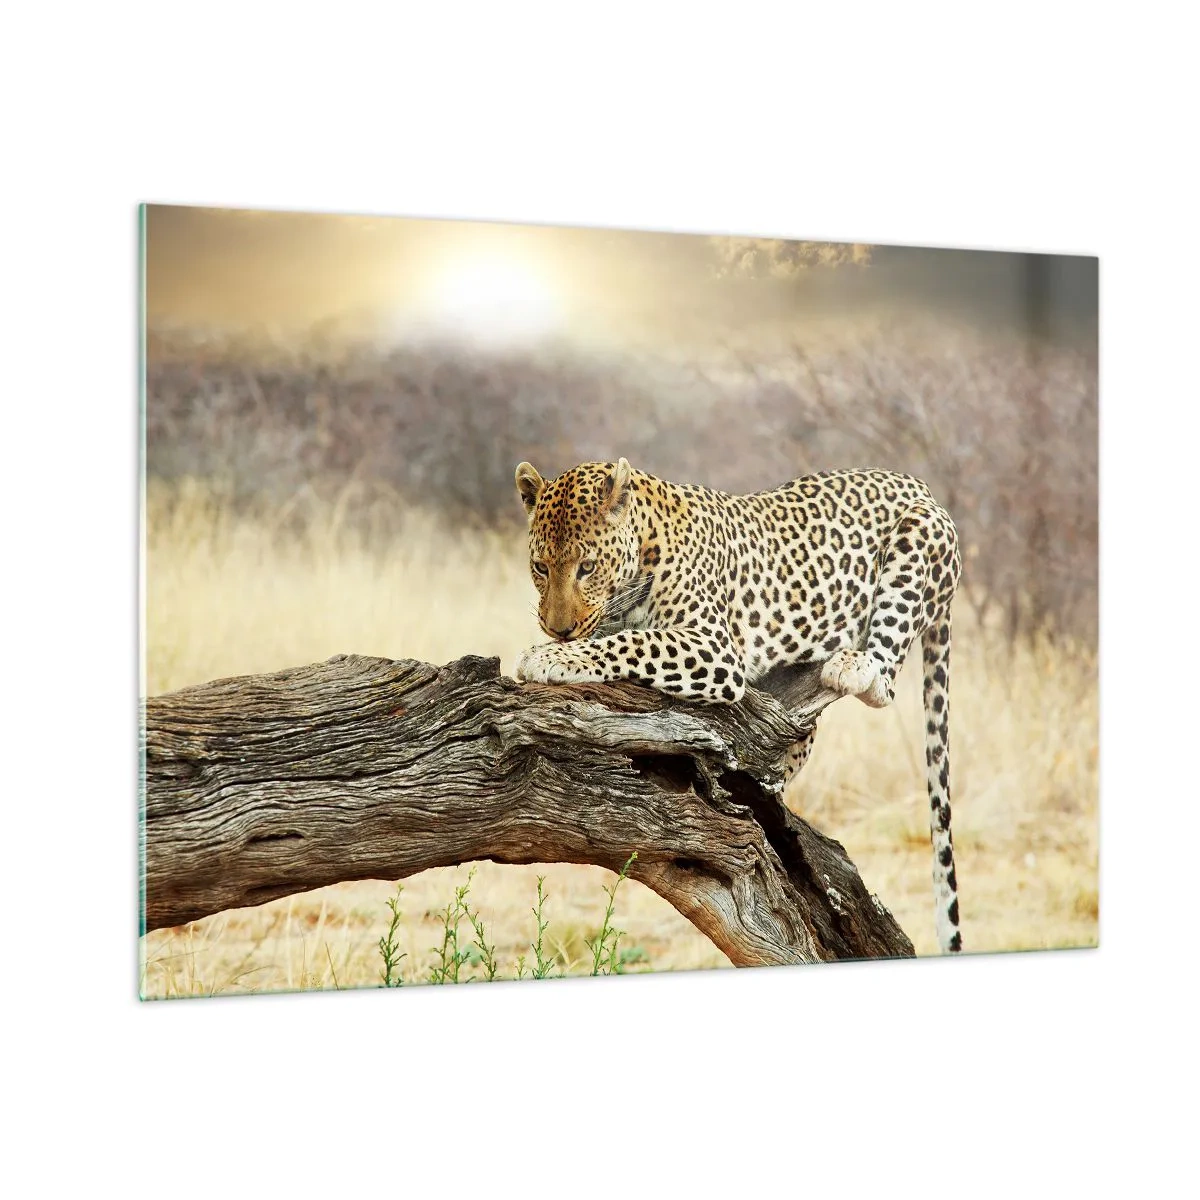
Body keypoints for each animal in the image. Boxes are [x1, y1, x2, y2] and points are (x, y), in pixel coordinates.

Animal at [513, 456, 964, 954]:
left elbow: (631, 642)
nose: (558, 629)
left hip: (918, 539)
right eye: (540, 567)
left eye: (587, 567)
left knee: (883, 682)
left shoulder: (713, 648)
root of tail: (919, 484)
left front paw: (550, 657)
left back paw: (853, 665)